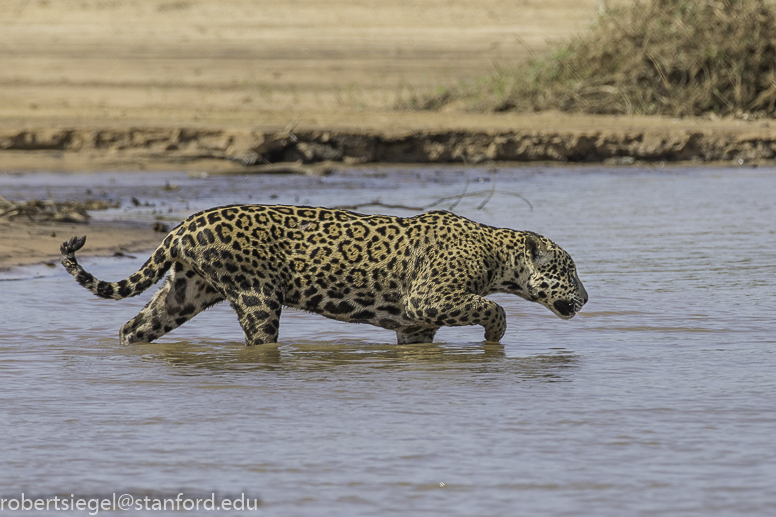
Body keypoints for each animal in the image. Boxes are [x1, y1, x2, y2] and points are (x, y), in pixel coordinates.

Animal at [60, 204, 588, 346]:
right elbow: (492, 306)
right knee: (260, 338)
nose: (585, 298)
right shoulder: (428, 298)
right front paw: (495, 337)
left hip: (186, 292)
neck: (496, 252)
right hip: (257, 299)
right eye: (569, 270)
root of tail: (184, 224)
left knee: (134, 326)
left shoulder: (416, 325)